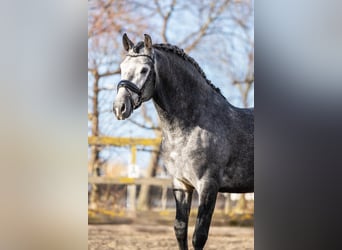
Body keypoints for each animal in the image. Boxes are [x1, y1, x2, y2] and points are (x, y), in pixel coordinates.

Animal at [113, 33, 252, 250]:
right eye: (121, 67)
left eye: (144, 69)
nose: (120, 107)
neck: (191, 127)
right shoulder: (180, 184)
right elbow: (180, 229)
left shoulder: (208, 186)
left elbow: (199, 236)